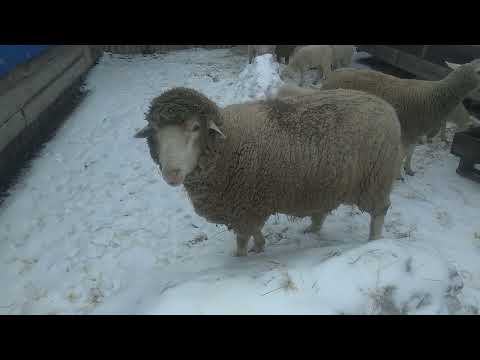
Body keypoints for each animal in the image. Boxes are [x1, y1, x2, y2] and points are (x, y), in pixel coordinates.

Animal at [134, 87, 402, 256]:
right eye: (155, 131)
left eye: (195, 127)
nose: (171, 173)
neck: (228, 146)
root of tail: (387, 107)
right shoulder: (249, 205)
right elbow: (255, 231)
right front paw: (261, 246)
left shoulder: (243, 205)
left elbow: (242, 239)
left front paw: (242, 258)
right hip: (327, 183)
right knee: (322, 211)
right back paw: (311, 229)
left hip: (375, 179)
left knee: (380, 212)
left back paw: (373, 242)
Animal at [320, 59, 480, 176]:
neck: (435, 97)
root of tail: (331, 75)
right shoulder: (408, 131)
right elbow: (402, 154)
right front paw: (398, 175)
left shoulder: (416, 131)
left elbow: (410, 153)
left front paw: (408, 169)